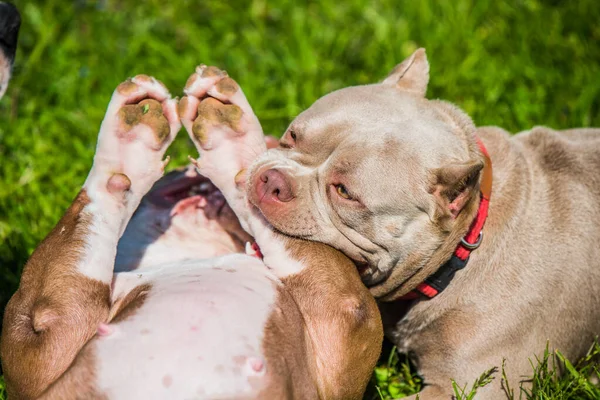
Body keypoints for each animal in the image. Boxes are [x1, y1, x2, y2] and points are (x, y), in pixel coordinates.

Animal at [0, 67, 382, 398]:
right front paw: (133, 139)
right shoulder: (43, 336)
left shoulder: (340, 325)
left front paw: (227, 134)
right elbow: (97, 202)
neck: (187, 254)